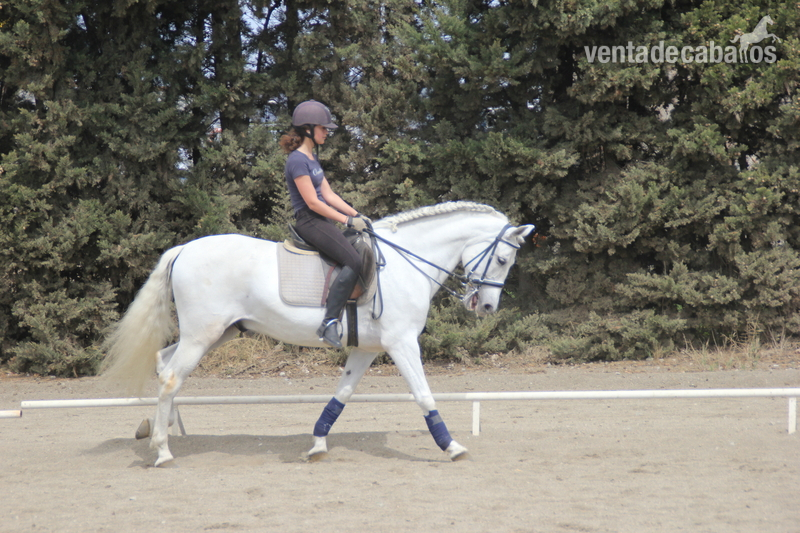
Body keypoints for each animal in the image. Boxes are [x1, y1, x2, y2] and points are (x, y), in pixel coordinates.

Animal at [102, 201, 534, 466]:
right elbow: (424, 395)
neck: (404, 264)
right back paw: (162, 450)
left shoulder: (368, 349)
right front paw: (452, 446)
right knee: (172, 377)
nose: (486, 307)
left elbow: (341, 396)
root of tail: (184, 250)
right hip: (202, 335)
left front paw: (318, 444)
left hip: (219, 332)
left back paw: (160, 431)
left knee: (163, 363)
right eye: (502, 259)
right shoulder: (401, 343)